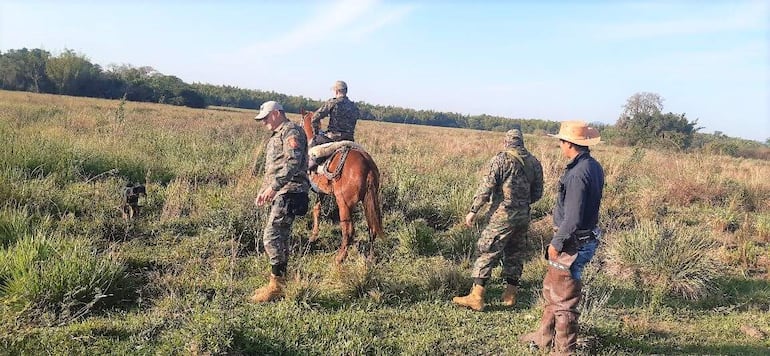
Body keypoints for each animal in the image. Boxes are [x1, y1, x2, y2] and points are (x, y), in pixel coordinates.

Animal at [300, 110, 384, 262]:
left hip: (344, 204)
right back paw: (370, 257)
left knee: (348, 230)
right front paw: (314, 235)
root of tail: (367, 165)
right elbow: (317, 210)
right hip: (367, 202)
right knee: (372, 228)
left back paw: (340, 257)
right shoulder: (321, 192)